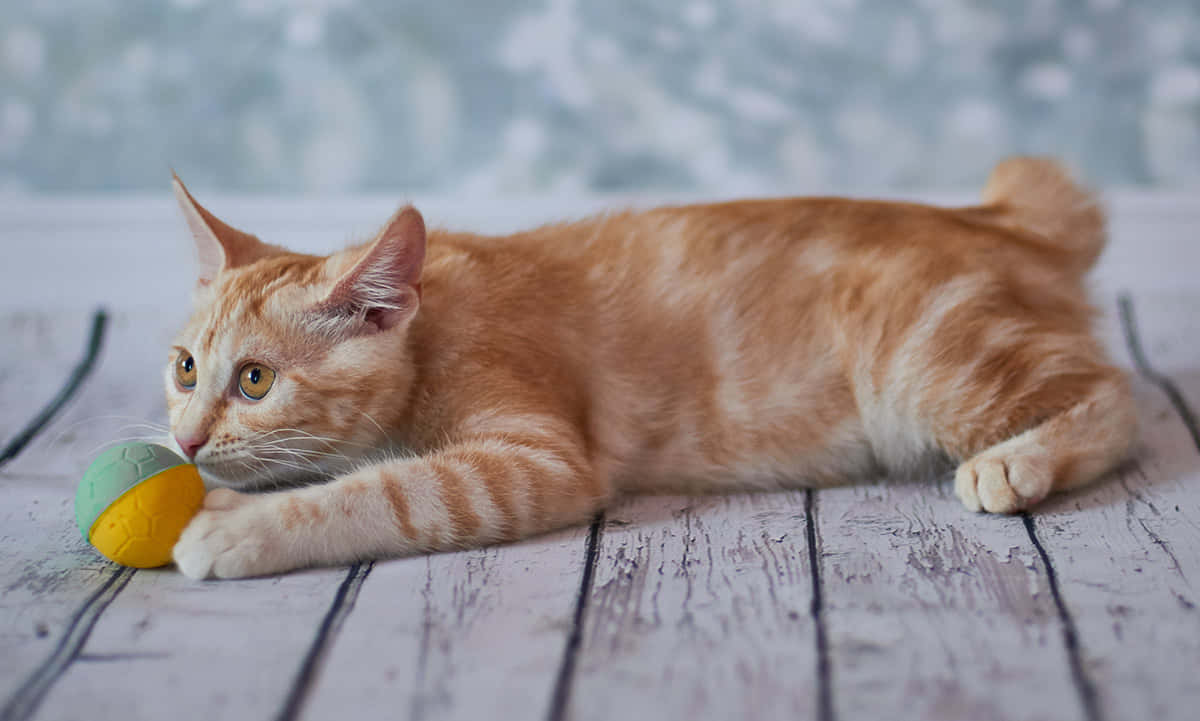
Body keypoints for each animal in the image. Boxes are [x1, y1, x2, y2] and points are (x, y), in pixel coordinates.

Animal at [166, 157, 1132, 578]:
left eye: (254, 379)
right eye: (183, 368)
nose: (186, 439)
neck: (431, 328)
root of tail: (995, 218)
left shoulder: (534, 461)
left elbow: (389, 491)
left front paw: (241, 527)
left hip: (930, 364)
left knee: (1120, 400)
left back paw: (1018, 461)